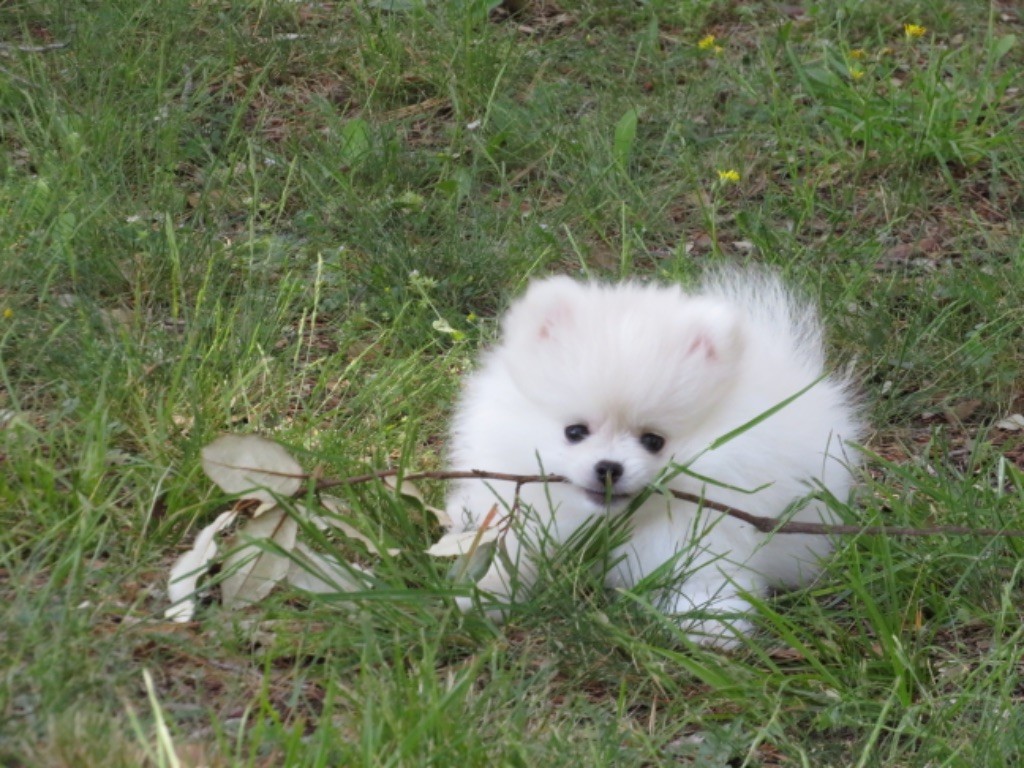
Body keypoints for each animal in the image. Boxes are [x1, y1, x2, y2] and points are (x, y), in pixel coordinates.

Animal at [444, 274, 860, 647]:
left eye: (653, 441)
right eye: (575, 432)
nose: (608, 468)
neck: (613, 523)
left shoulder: (714, 530)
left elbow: (711, 573)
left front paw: (709, 622)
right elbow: (507, 548)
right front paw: (483, 589)